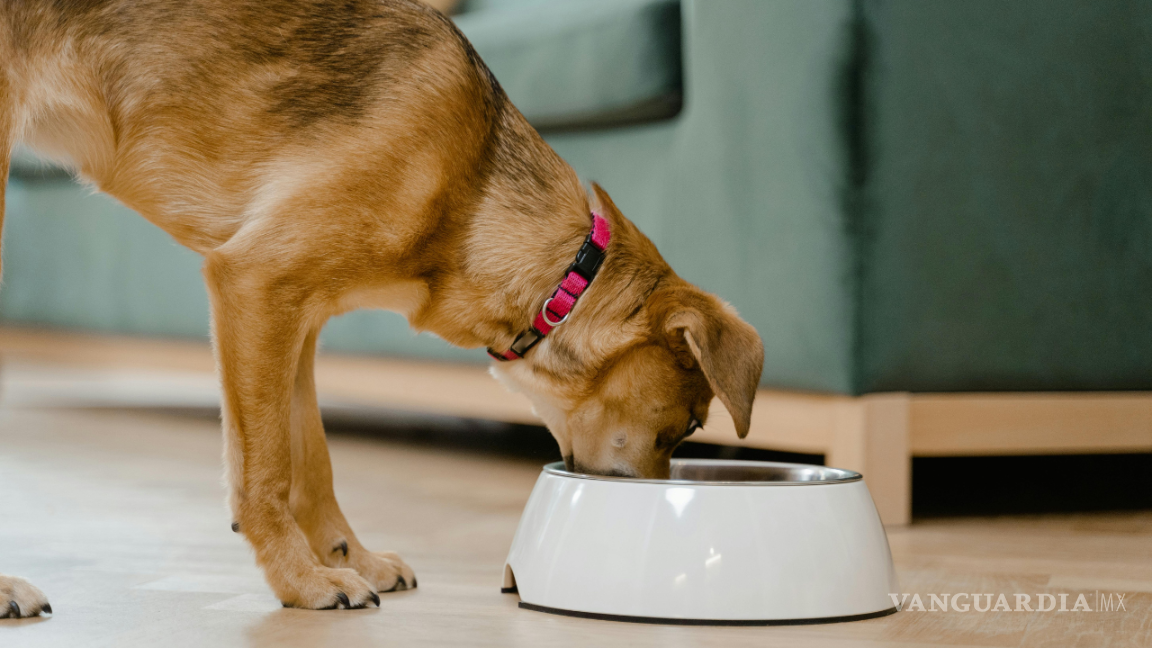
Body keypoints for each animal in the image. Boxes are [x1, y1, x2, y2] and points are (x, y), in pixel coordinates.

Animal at [0, 0, 764, 608]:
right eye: (689, 427)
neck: (472, 188)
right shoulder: (254, 283)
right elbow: (265, 471)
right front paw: (302, 583)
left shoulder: (293, 319)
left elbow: (310, 462)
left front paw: (348, 559)